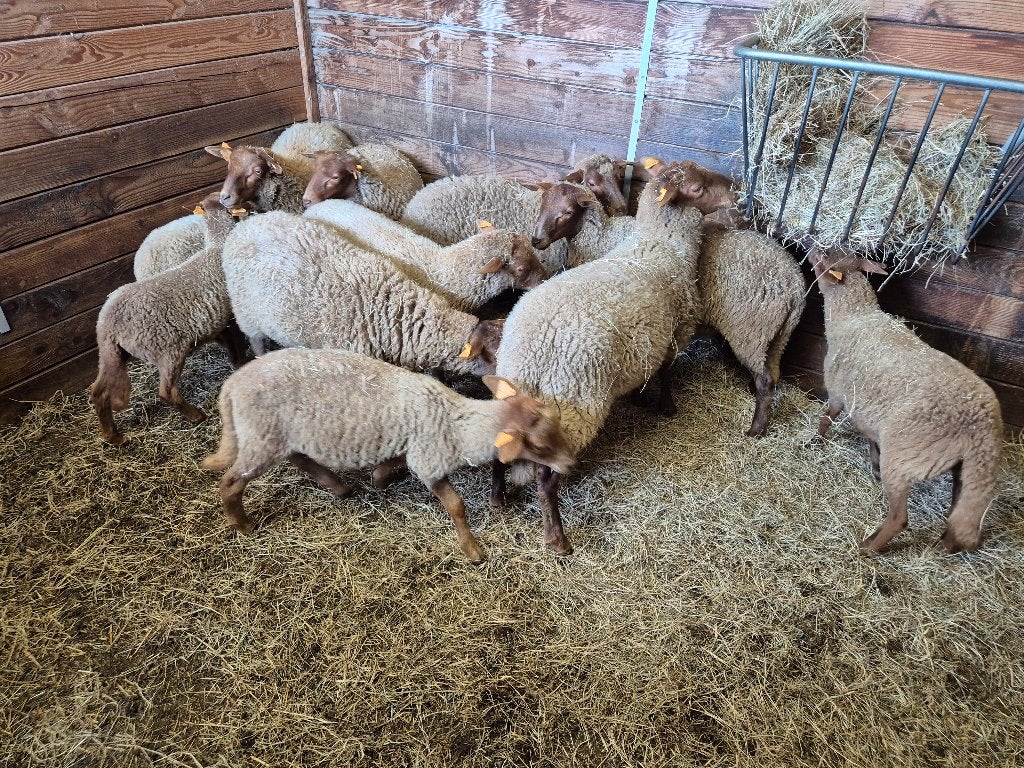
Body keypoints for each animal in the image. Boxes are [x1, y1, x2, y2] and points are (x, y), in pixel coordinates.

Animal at [89, 197, 242, 444]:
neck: (216, 245)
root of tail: (108, 324)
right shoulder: (231, 318)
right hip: (168, 349)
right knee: (166, 392)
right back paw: (196, 416)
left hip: (112, 354)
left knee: (99, 391)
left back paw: (112, 435)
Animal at [201, 348, 575, 559]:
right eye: (539, 445)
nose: (569, 464)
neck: (455, 423)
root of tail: (231, 385)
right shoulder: (429, 460)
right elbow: (456, 506)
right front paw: (472, 550)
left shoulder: (411, 447)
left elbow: (392, 464)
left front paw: (379, 479)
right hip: (261, 436)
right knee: (230, 482)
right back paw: (242, 524)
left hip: (279, 435)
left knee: (298, 458)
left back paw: (338, 486)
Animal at [491, 180, 705, 554]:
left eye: (565, 212)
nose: (537, 239)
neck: (660, 244)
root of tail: (528, 358)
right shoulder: (675, 333)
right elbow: (665, 372)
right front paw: (666, 405)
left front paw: (640, 397)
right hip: (574, 409)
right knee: (545, 478)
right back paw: (558, 539)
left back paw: (497, 499)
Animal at [810, 249, 1003, 554]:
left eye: (824, 257)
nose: (810, 249)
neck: (854, 315)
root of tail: (983, 426)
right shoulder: (867, 412)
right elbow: (870, 439)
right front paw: (874, 465)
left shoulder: (839, 393)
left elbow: (826, 418)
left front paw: (814, 442)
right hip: (967, 470)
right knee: (959, 515)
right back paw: (941, 547)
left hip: (904, 459)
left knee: (900, 518)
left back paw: (868, 547)